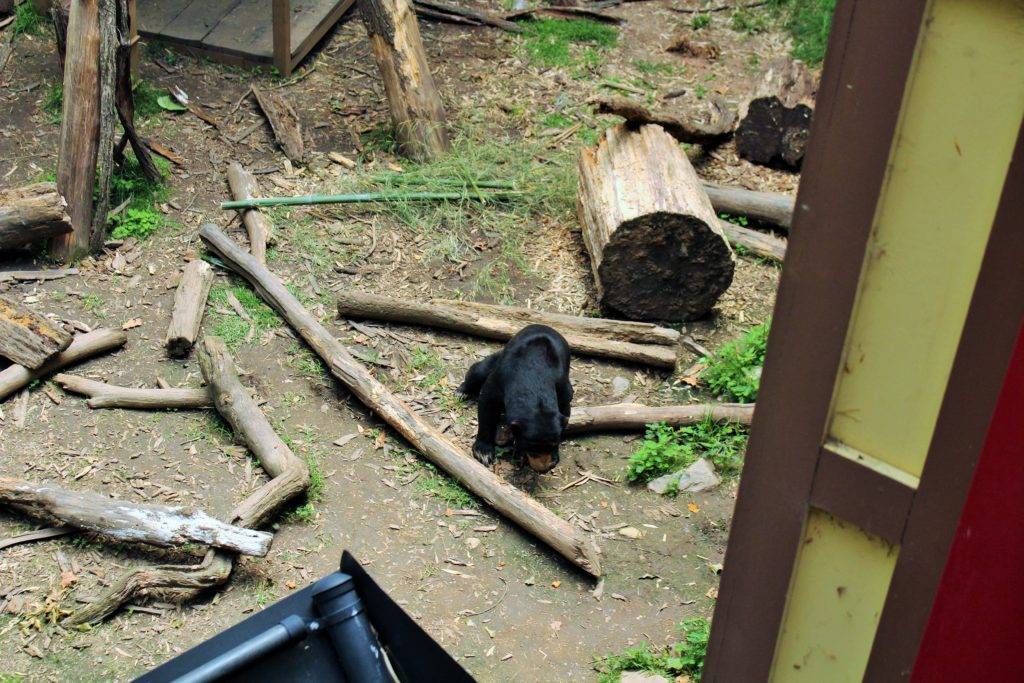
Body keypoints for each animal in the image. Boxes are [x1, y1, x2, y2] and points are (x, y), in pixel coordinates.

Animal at [458, 323, 573, 473]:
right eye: (531, 448)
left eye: (552, 445)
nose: (543, 468)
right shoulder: (500, 378)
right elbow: (487, 406)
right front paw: (483, 453)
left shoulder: (562, 386)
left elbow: (565, 410)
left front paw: (553, 456)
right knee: (479, 370)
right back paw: (461, 392)